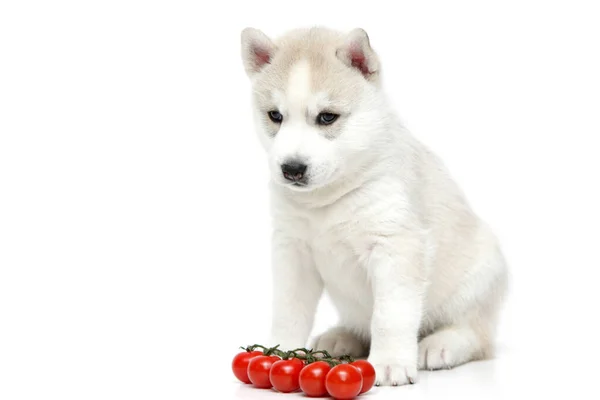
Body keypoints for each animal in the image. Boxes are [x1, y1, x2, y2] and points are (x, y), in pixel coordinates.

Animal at [239, 26, 506, 386]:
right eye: (275, 116)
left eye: (327, 117)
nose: (292, 169)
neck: (328, 200)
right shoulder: (292, 250)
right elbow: (288, 309)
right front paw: (282, 352)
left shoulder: (396, 247)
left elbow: (389, 317)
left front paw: (390, 363)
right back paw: (341, 337)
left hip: (479, 279)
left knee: (475, 333)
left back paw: (442, 345)